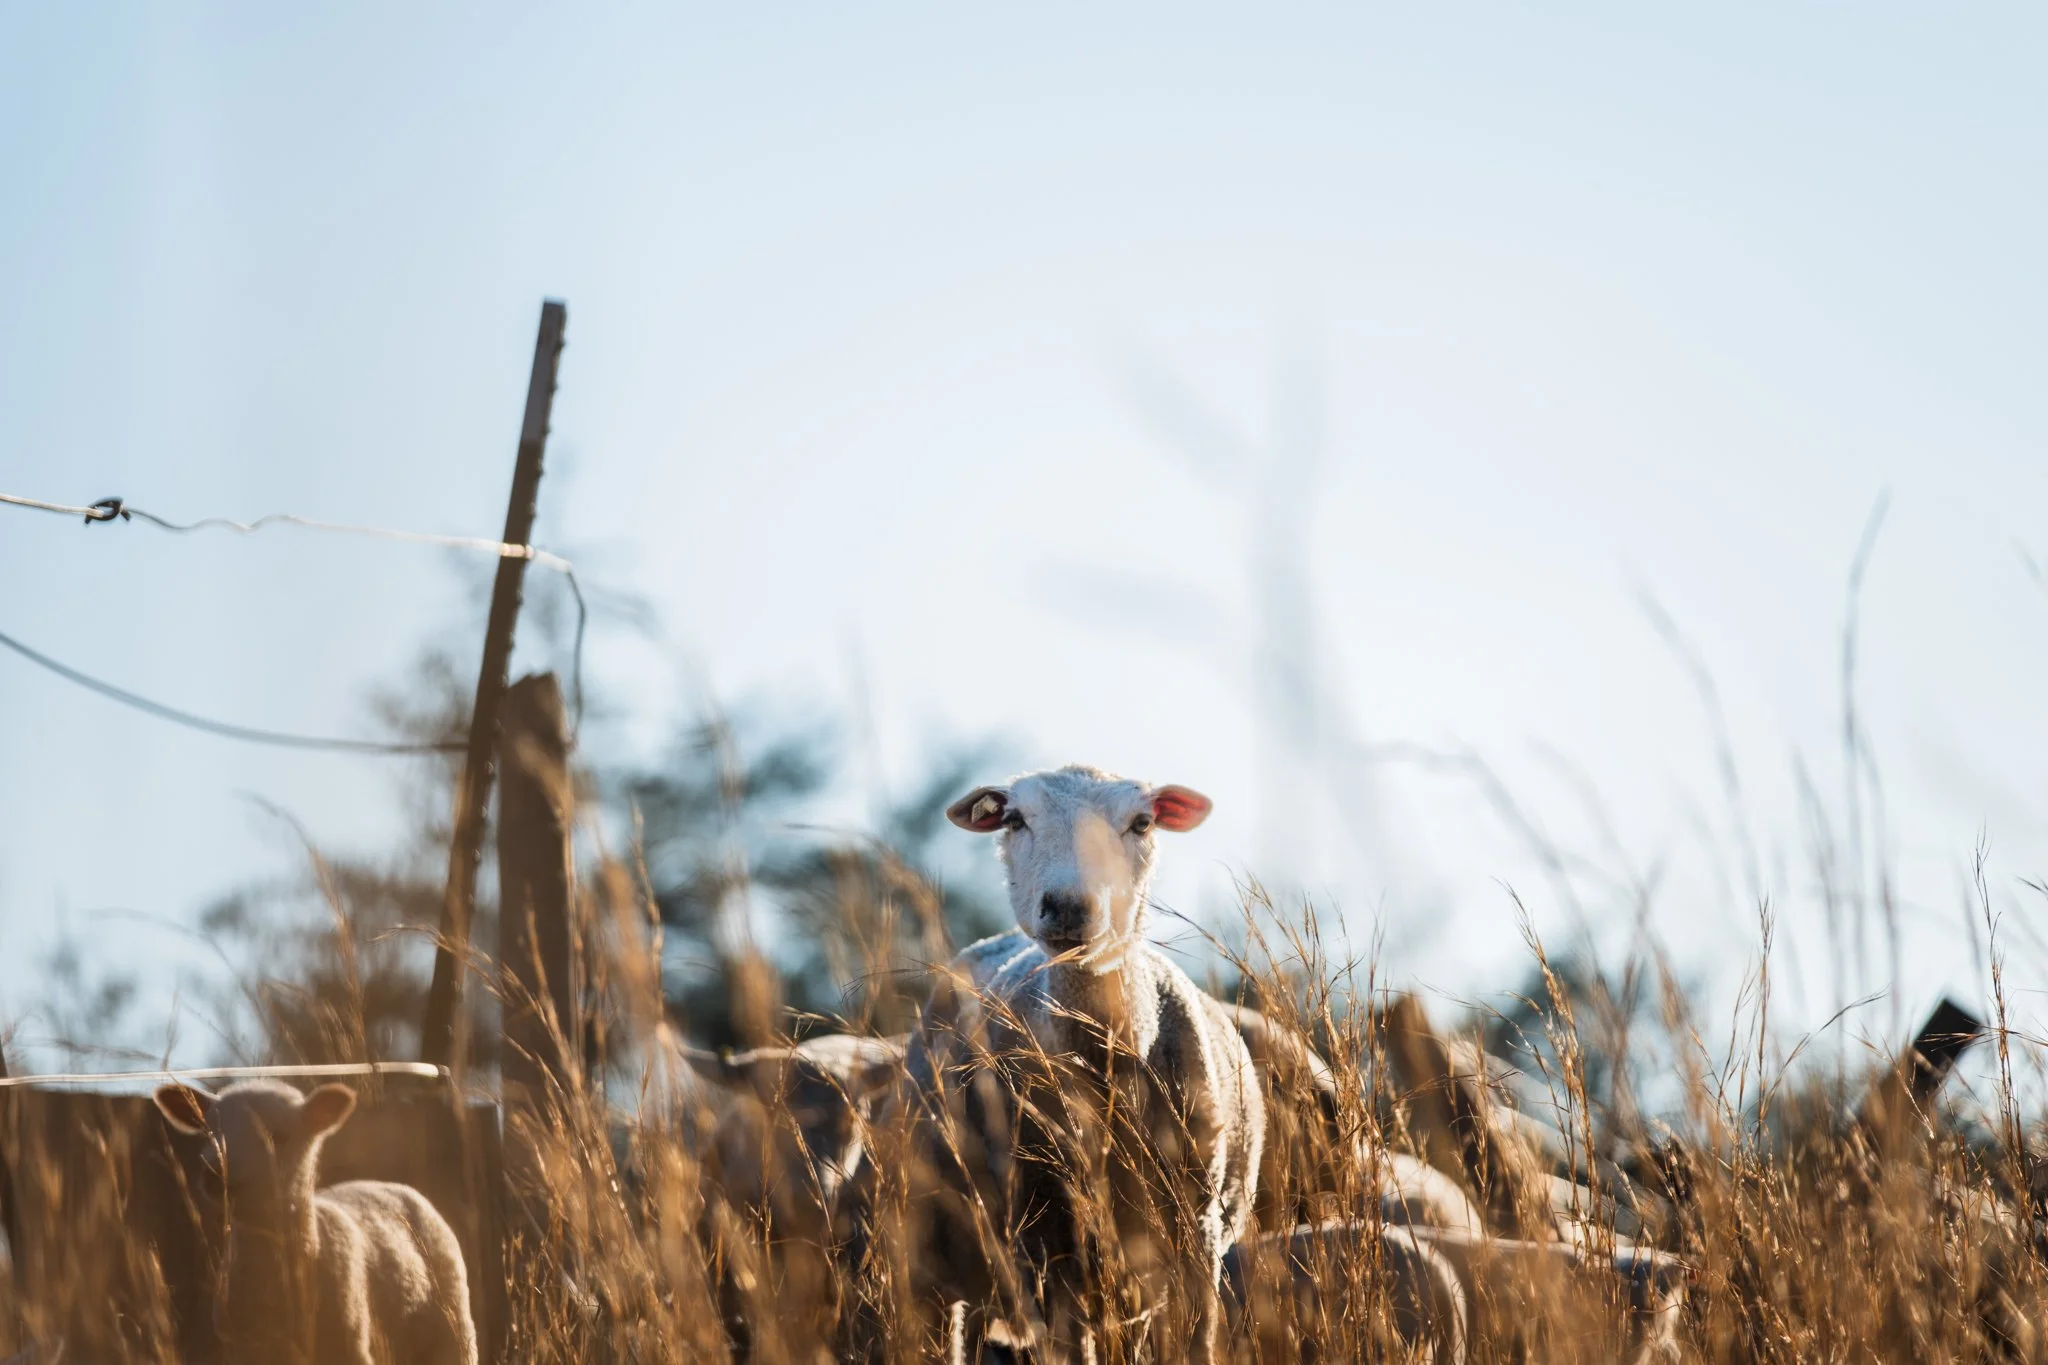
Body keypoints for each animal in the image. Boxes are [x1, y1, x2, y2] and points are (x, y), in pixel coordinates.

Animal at [152, 1079, 477, 1365]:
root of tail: (391, 1184)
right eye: (208, 1133)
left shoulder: (349, 1346)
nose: (216, 1173)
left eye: (278, 1137)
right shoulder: (243, 1349)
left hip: (454, 1325)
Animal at [848, 765, 1263, 1364]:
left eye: (1143, 823)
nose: (1068, 905)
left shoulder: (1196, 1235)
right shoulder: (1049, 1243)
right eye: (1015, 819)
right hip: (930, 1251)